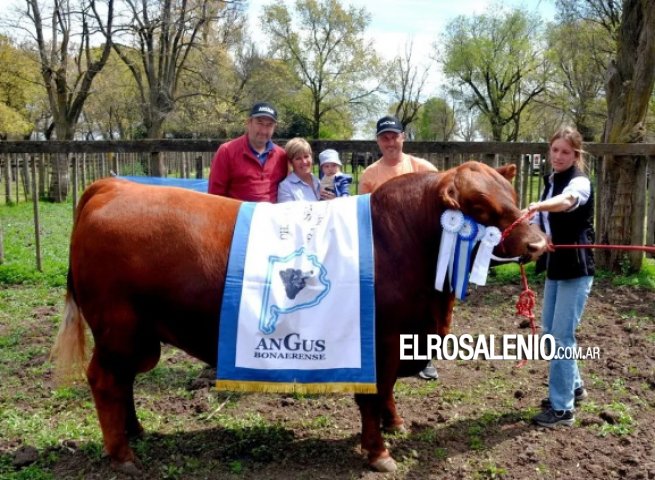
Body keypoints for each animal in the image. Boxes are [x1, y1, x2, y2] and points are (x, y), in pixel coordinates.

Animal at [53, 160, 552, 472]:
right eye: (480, 207)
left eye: (513, 195)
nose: (537, 244)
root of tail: (112, 186)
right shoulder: (379, 341)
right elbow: (373, 395)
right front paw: (378, 451)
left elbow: (387, 392)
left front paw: (393, 424)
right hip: (119, 329)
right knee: (105, 381)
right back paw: (122, 454)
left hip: (136, 337)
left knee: (123, 383)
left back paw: (135, 431)